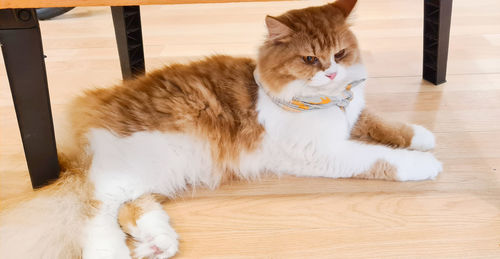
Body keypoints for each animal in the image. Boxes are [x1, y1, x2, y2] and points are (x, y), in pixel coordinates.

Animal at [0, 1, 442, 258]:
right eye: (310, 59)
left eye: (340, 53)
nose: (332, 72)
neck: (325, 101)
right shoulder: (323, 152)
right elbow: (385, 158)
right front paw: (427, 164)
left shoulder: (352, 116)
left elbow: (382, 123)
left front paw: (423, 136)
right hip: (125, 170)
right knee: (96, 211)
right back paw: (112, 253)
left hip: (152, 173)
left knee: (132, 207)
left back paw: (159, 243)